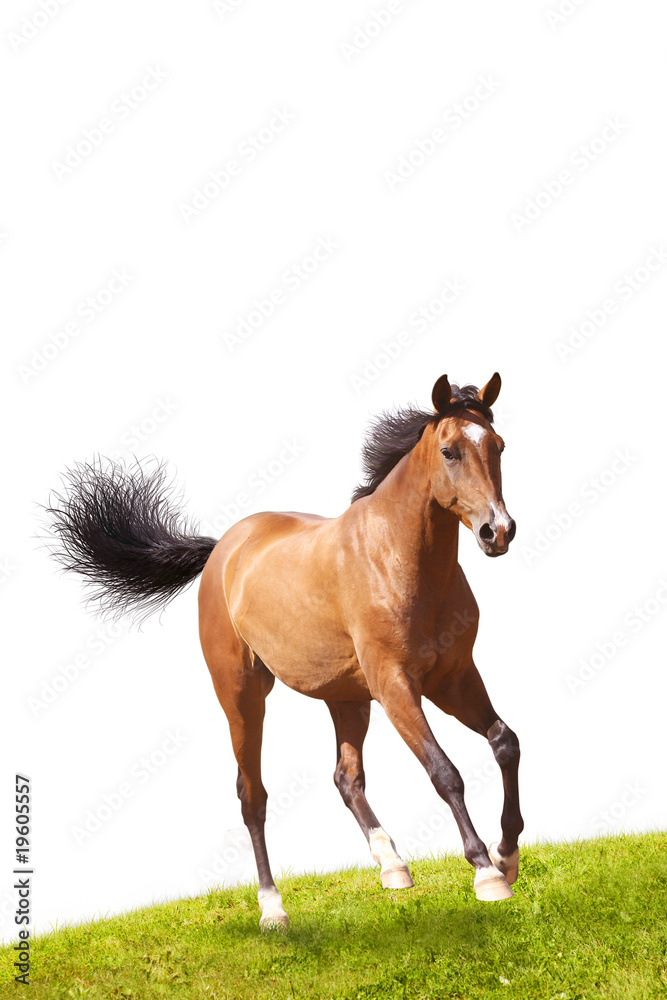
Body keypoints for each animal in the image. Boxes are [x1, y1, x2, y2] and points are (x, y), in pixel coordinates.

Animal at [45, 372, 523, 931]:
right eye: (449, 451)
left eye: (499, 446)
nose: (498, 531)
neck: (400, 558)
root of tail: (223, 549)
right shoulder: (397, 686)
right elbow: (445, 772)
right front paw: (486, 873)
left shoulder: (454, 679)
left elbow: (504, 742)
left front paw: (507, 856)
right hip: (243, 696)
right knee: (252, 796)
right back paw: (273, 907)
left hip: (347, 698)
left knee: (346, 778)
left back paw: (392, 866)